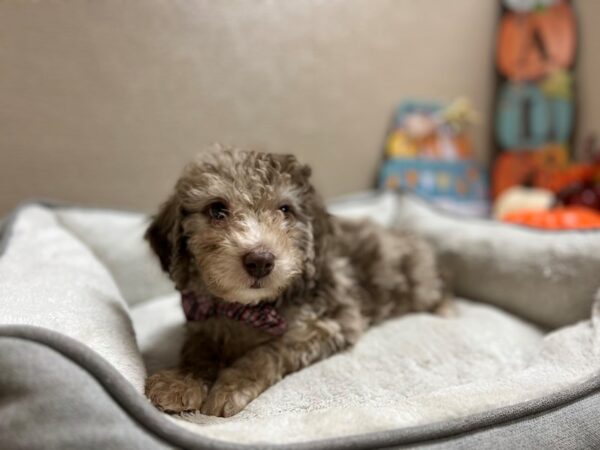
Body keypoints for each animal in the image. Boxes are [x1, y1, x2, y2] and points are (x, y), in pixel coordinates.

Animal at [143, 148, 448, 418]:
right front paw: (180, 381)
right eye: (217, 210)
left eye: (285, 210)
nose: (260, 260)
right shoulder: (203, 321)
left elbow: (268, 351)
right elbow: (198, 349)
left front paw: (230, 388)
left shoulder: (329, 324)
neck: (245, 309)